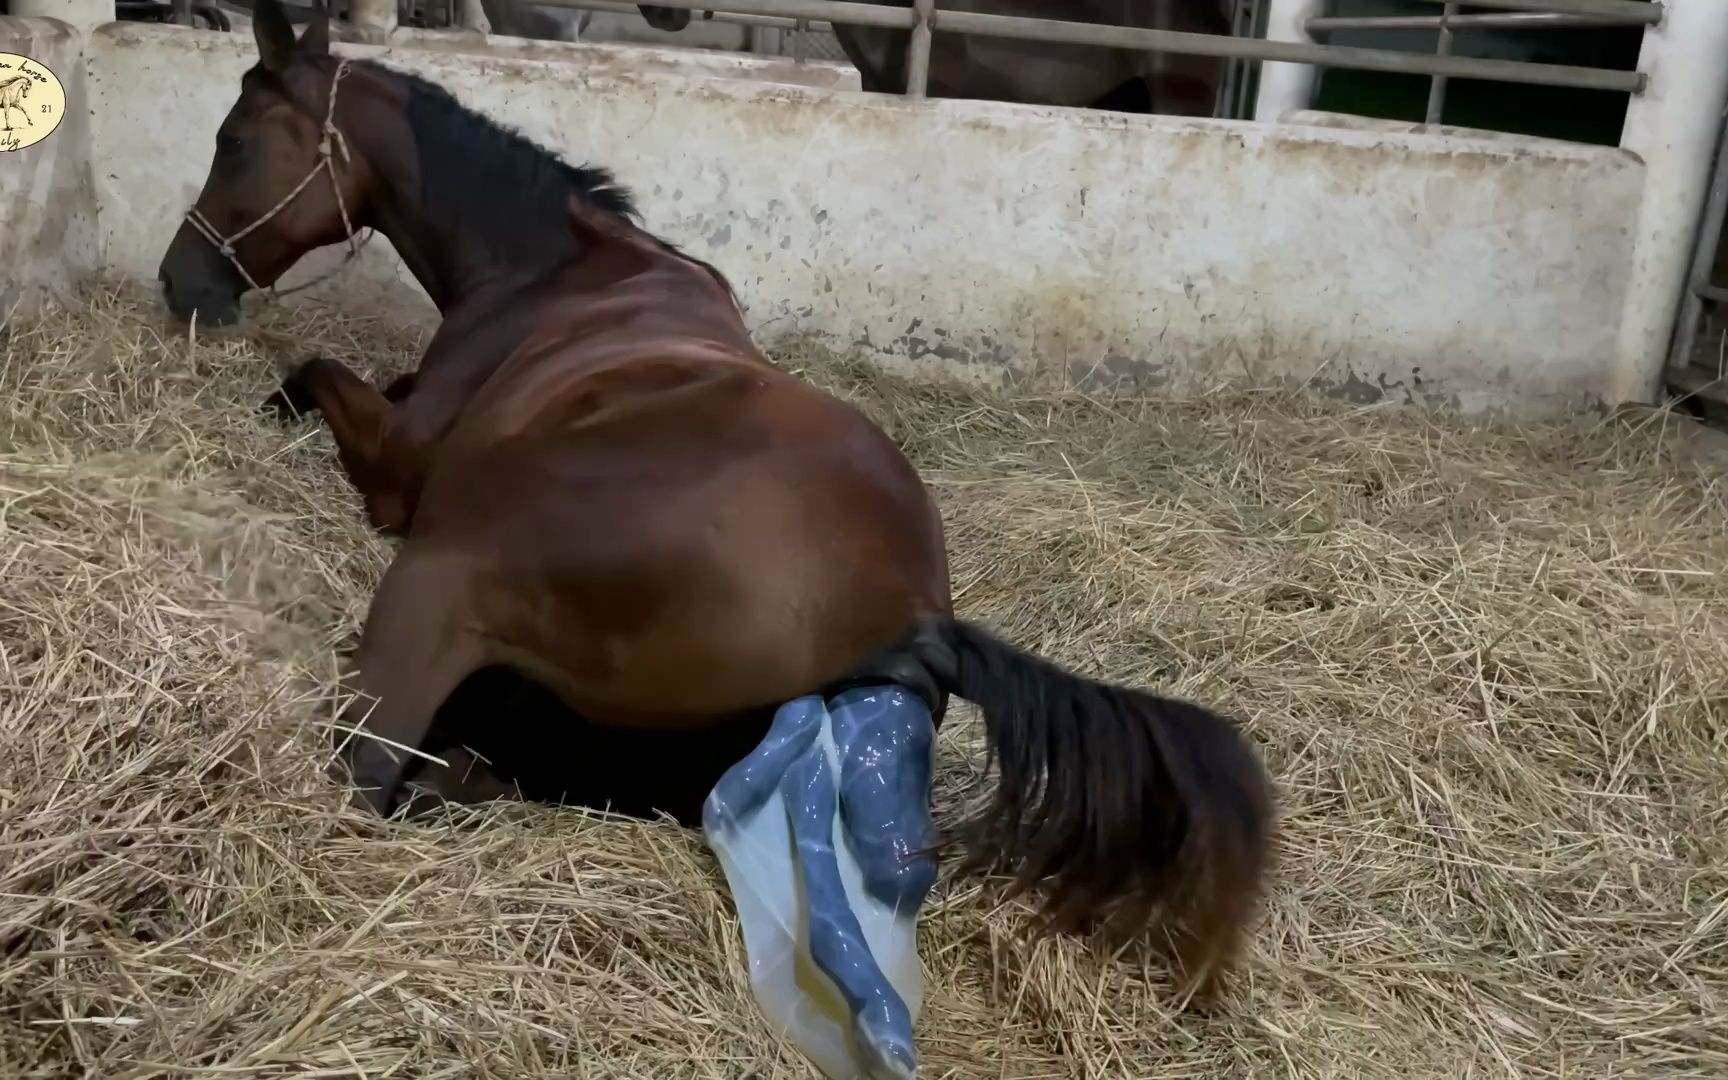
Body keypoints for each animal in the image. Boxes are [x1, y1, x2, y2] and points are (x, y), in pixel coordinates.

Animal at [155, 4, 1278, 1071]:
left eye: (236, 139)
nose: (182, 282)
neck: (550, 276)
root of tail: (914, 623)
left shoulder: (398, 467)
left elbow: (316, 371)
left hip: (437, 595)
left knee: (366, 771)